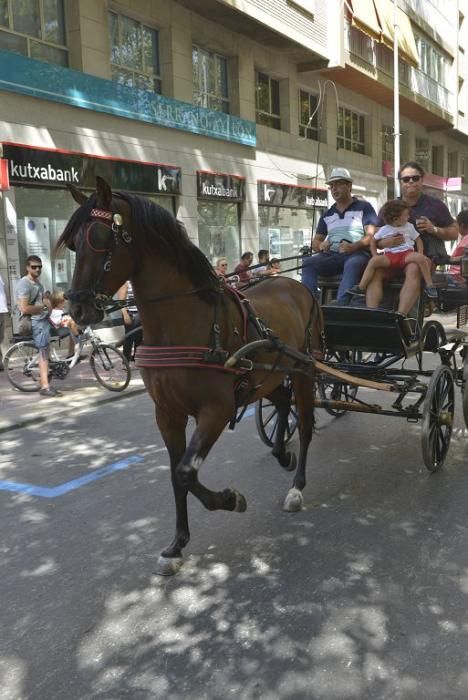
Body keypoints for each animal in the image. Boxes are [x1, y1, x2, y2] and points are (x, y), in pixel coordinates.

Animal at [57, 175, 322, 576]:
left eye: (102, 238)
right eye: (73, 243)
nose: (77, 309)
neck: (183, 322)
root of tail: (295, 285)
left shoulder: (216, 411)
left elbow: (185, 472)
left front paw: (230, 499)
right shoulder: (167, 413)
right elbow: (175, 475)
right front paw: (176, 545)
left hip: (304, 369)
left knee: (304, 424)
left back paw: (297, 485)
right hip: (269, 376)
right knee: (280, 403)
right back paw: (281, 453)